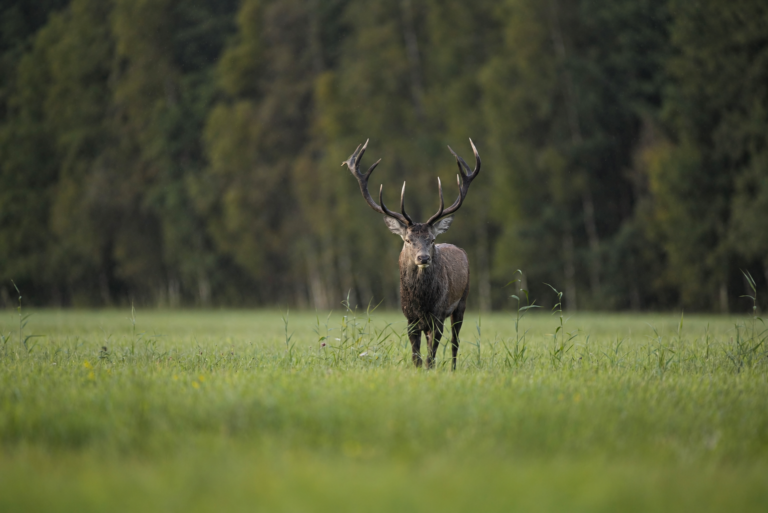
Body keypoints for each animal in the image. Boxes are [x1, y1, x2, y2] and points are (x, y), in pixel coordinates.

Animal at [342, 139, 480, 370]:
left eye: (431, 240)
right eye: (407, 240)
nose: (423, 258)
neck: (421, 301)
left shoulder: (438, 315)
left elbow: (431, 356)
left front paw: (431, 371)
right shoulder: (410, 318)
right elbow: (416, 356)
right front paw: (417, 371)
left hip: (463, 300)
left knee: (455, 342)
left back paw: (453, 369)